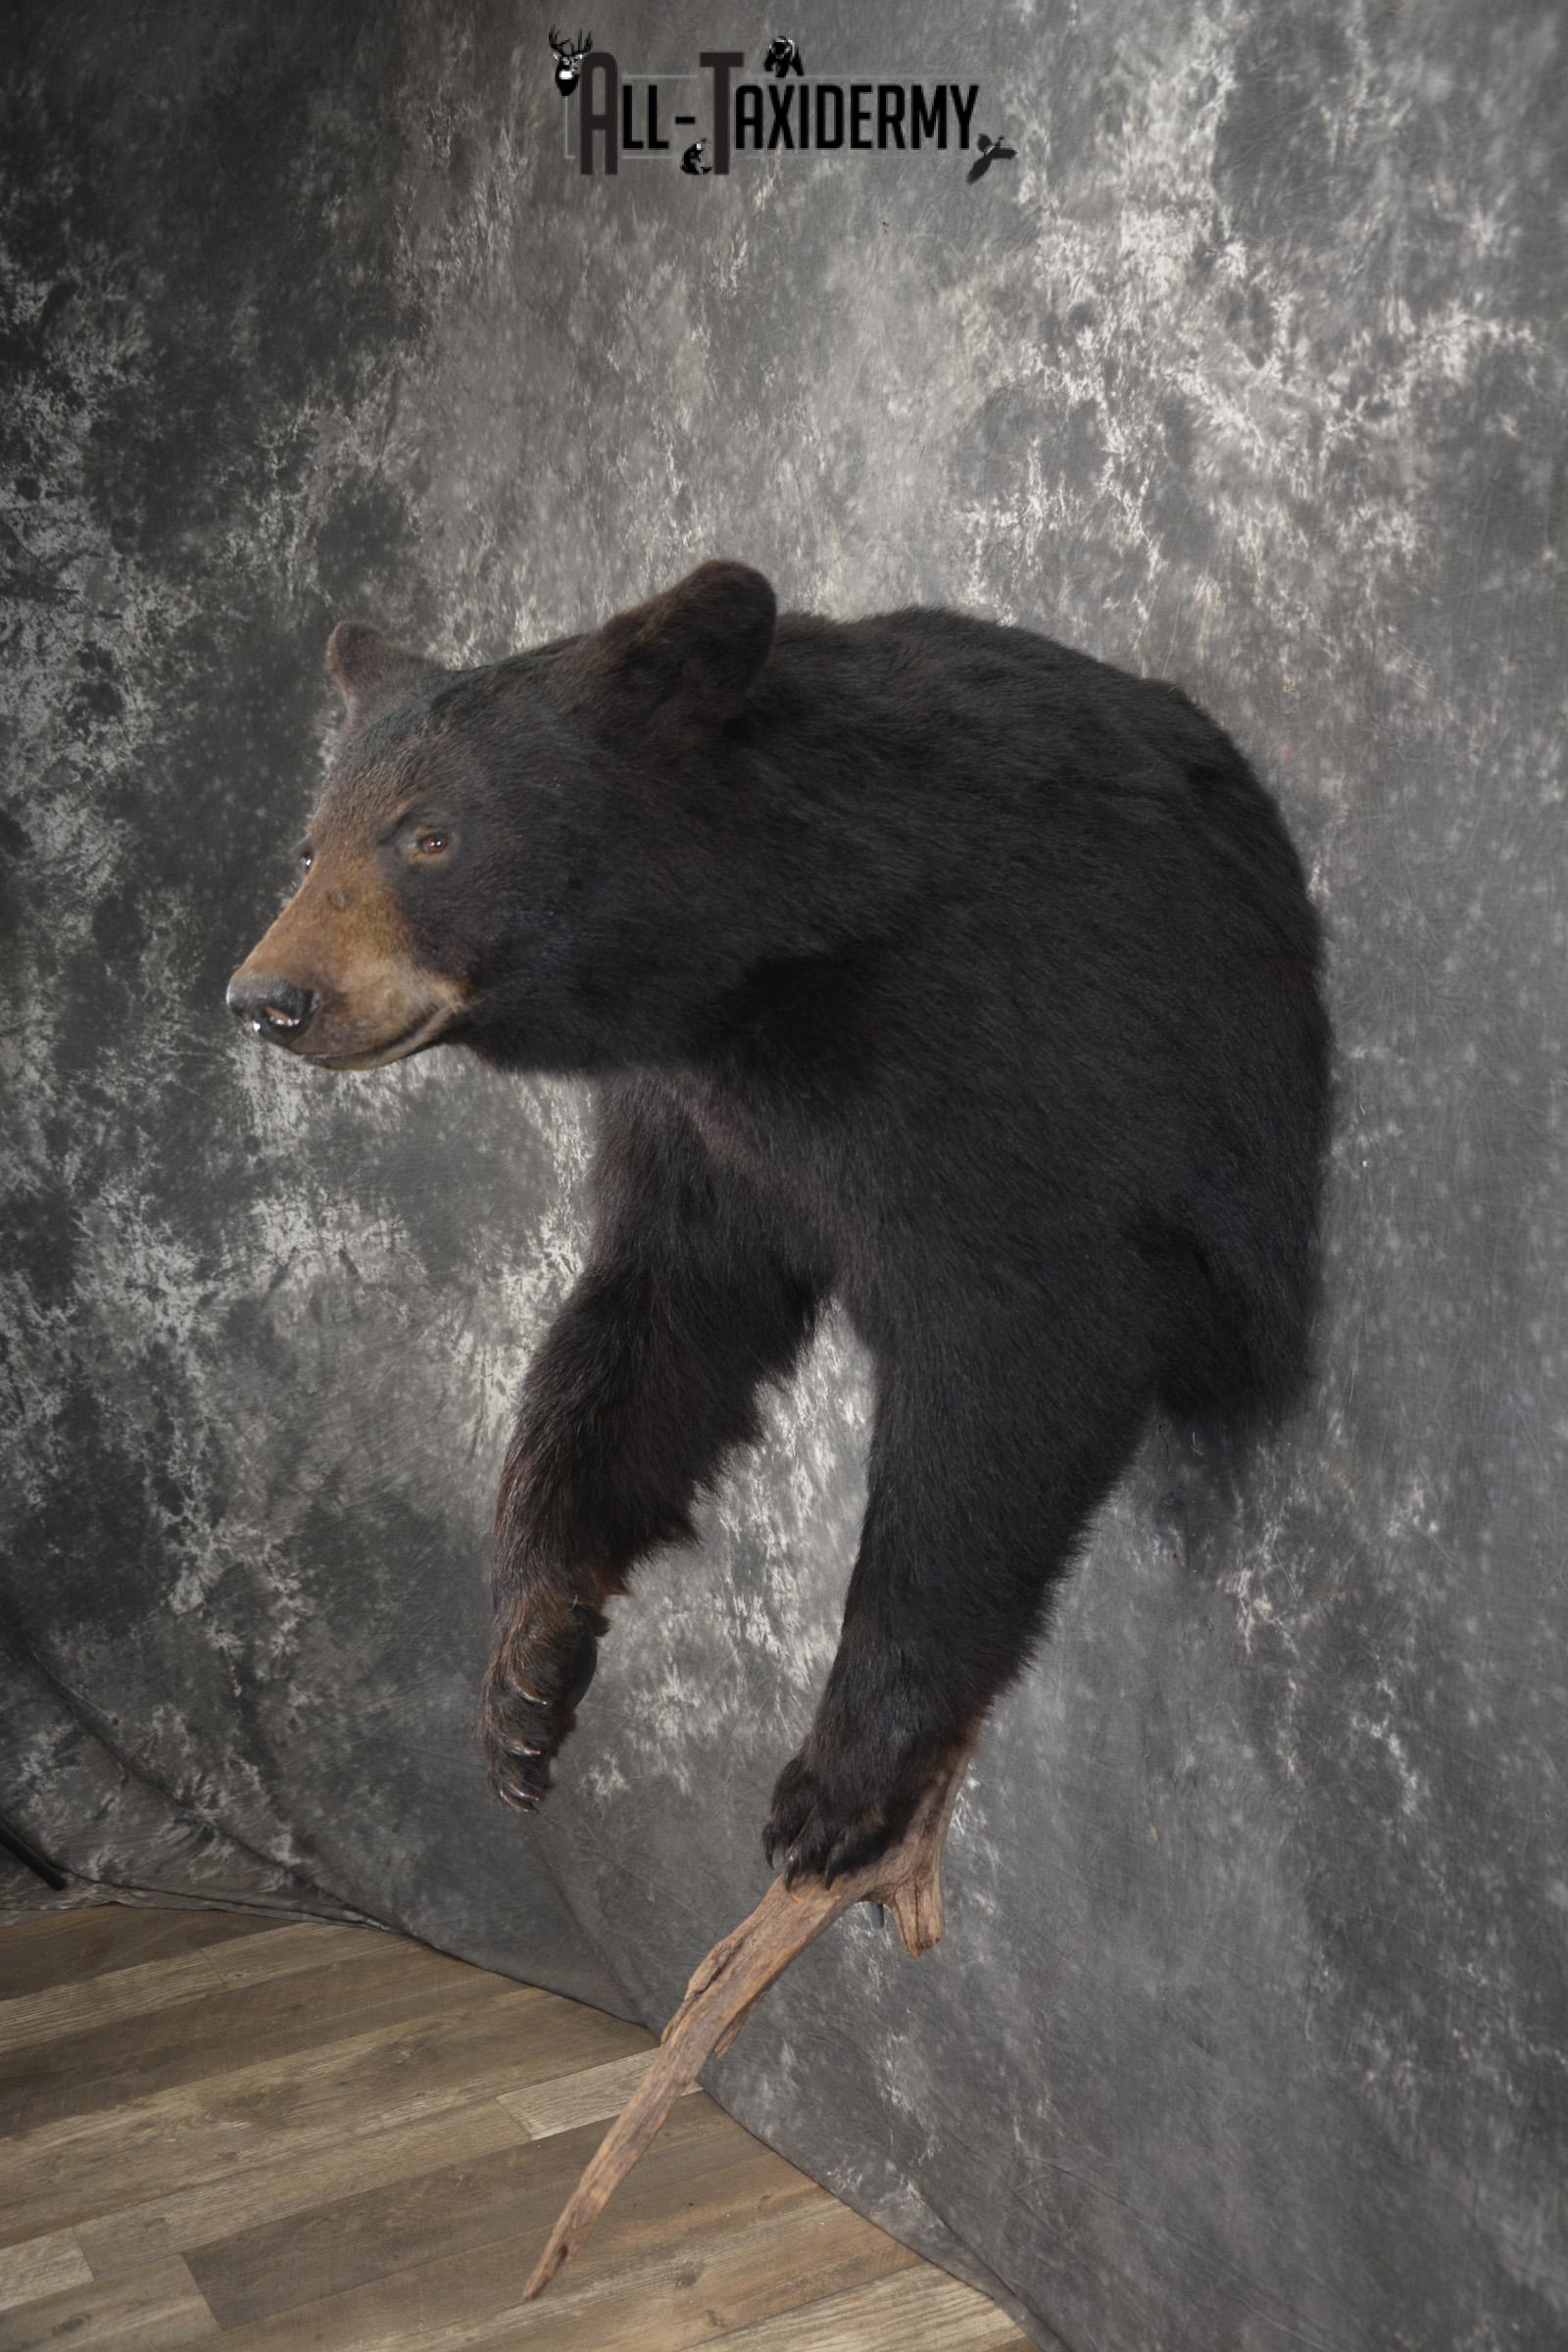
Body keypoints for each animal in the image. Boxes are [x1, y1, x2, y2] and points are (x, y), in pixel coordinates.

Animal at [227, 560, 1331, 1884]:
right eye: (309, 842)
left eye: (428, 835)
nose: (270, 997)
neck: (775, 952)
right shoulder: (692, 1115)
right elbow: (662, 1309)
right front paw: (527, 1669)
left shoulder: (1012, 1038)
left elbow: (1015, 1343)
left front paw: (841, 1777)